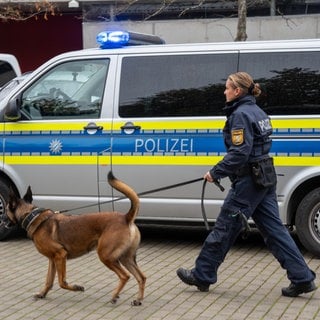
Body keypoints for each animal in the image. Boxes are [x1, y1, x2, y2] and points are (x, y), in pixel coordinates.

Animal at [6, 171, 146, 306]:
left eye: (4, 210)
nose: (2, 220)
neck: (32, 216)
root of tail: (126, 218)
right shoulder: (53, 259)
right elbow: (49, 281)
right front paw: (42, 293)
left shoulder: (60, 255)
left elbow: (61, 282)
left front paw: (76, 287)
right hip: (125, 258)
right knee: (141, 277)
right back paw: (138, 299)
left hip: (106, 256)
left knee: (125, 276)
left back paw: (114, 296)